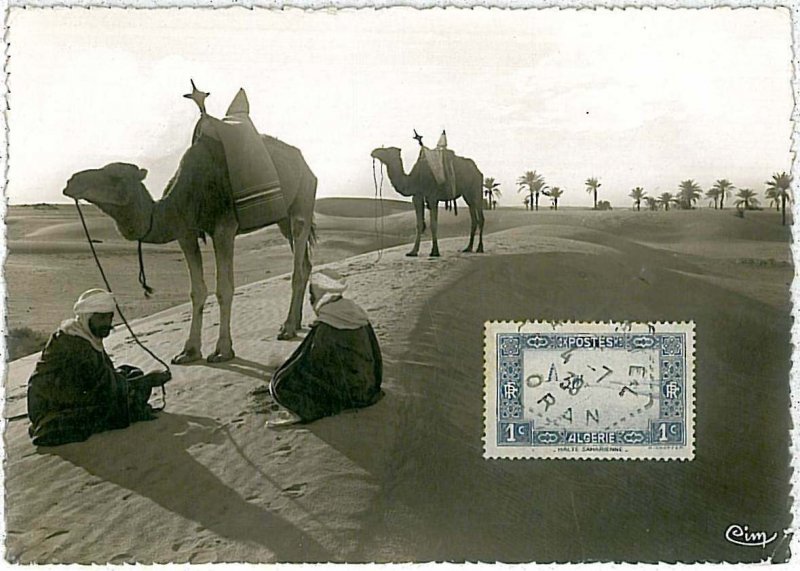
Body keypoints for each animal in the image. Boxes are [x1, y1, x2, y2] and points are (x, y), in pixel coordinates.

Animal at [61, 132, 316, 364]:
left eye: (114, 176)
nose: (71, 182)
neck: (184, 197)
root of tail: (305, 163)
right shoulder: (186, 234)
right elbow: (197, 291)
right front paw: (189, 351)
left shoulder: (224, 228)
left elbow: (224, 288)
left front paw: (222, 351)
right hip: (283, 219)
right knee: (305, 263)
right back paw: (295, 322)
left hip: (302, 201)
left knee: (298, 262)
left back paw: (288, 328)